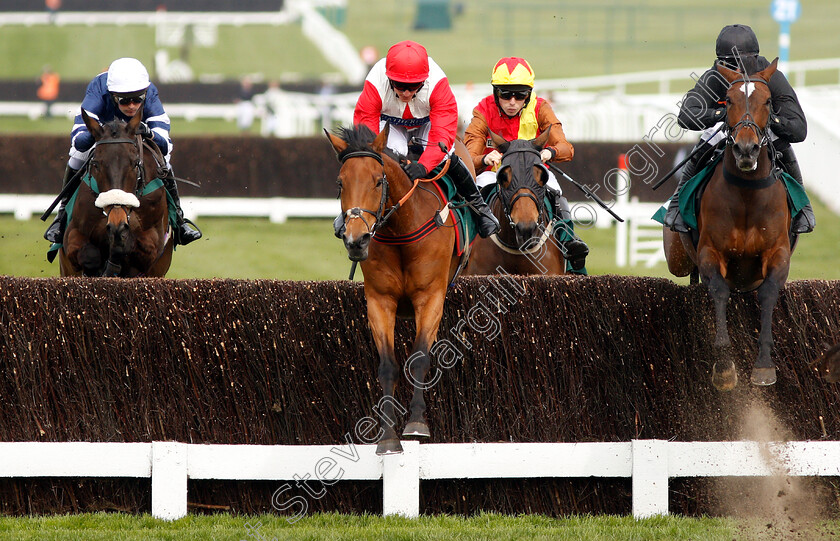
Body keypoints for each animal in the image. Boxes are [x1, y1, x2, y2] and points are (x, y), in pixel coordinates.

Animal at [60, 105, 174, 276]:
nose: (117, 223)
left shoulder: (152, 245)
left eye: (135, 163)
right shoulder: (73, 235)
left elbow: (129, 248)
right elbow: (89, 255)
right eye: (96, 164)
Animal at [326, 124, 466, 454]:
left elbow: (420, 357)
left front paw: (416, 424)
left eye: (378, 181)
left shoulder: (430, 298)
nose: (356, 240)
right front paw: (388, 436)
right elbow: (388, 365)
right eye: (340, 182)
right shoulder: (380, 301)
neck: (401, 230)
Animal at [668, 58, 792, 388]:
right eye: (729, 100)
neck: (747, 194)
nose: (746, 149)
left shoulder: (778, 252)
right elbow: (720, 290)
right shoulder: (710, 251)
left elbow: (769, 291)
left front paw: (763, 365)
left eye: (768, 101)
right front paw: (724, 364)